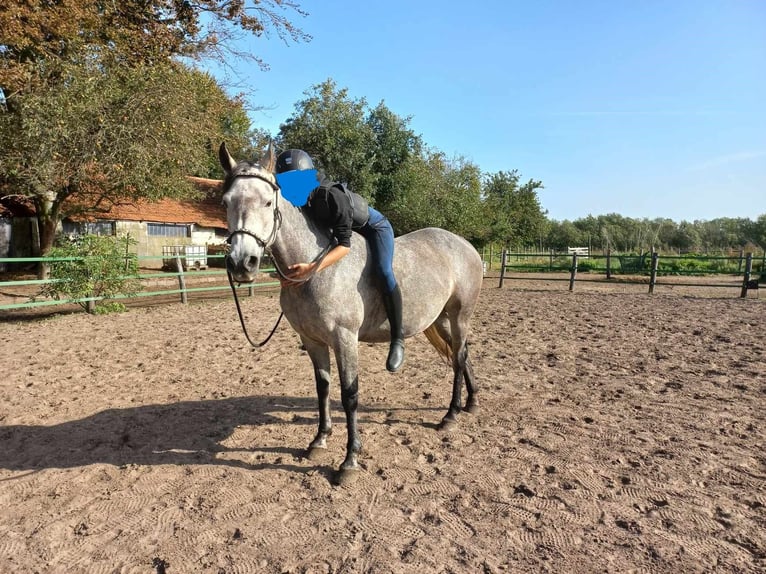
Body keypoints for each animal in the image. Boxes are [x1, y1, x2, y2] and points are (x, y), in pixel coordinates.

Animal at [220, 145, 486, 486]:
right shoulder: (312, 340)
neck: (315, 267)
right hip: (441, 318)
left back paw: (451, 414)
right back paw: (471, 404)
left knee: (459, 357)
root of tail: (464, 244)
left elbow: (349, 395)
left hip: (460, 315)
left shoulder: (344, 339)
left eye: (268, 201)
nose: (243, 263)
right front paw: (319, 440)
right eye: (226, 202)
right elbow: (323, 388)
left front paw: (349, 460)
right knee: (461, 355)